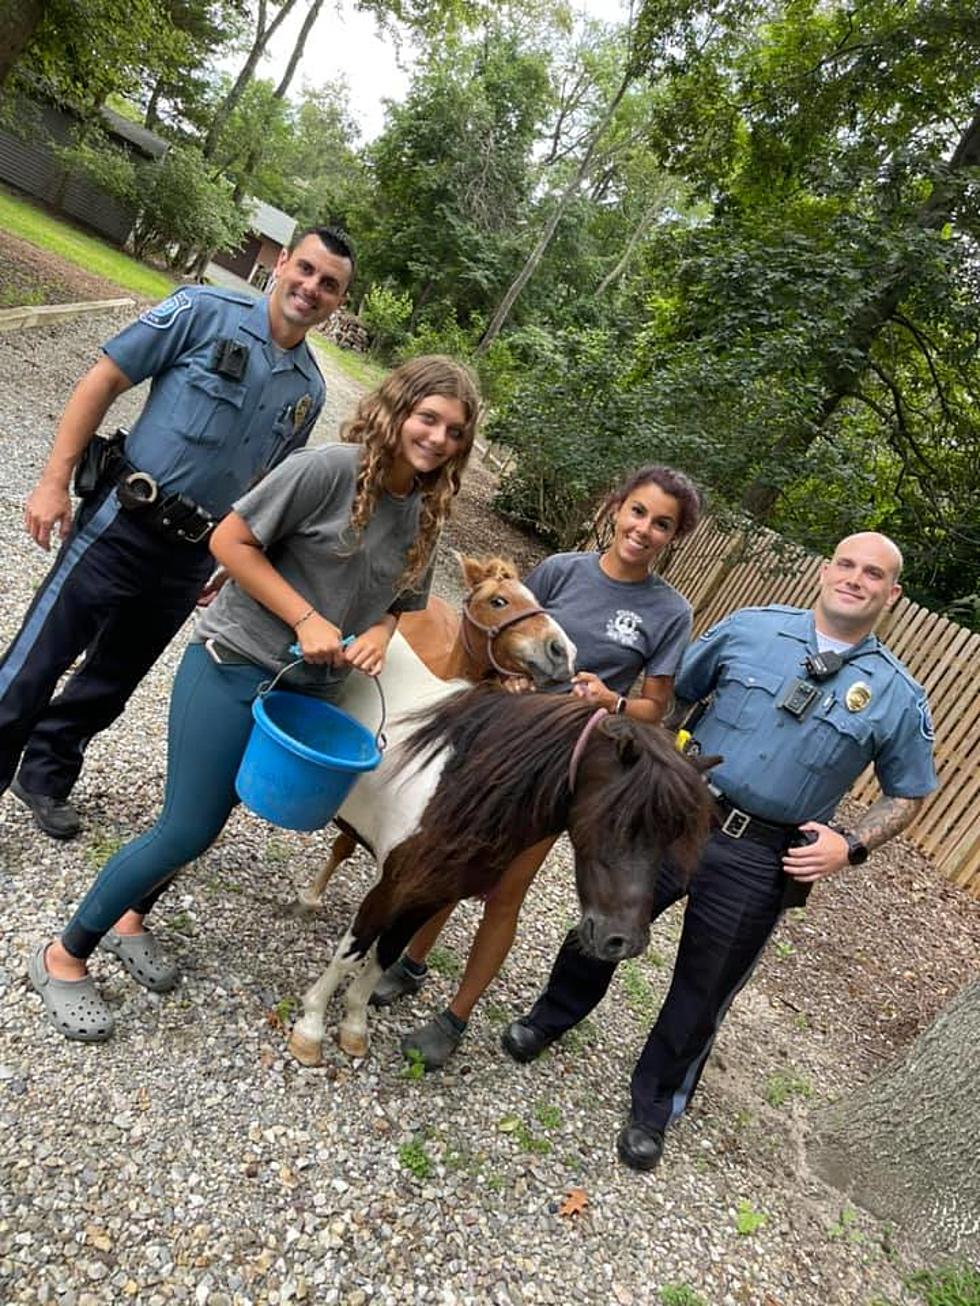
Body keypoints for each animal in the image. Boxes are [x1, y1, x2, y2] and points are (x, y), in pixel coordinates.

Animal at [286, 684, 716, 1060]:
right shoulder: (391, 885)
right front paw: (311, 1027)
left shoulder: (427, 893)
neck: (458, 782)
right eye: (616, 818)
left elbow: (384, 955)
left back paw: (310, 899)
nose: (623, 941)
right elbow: (353, 952)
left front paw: (354, 1027)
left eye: (674, 833)